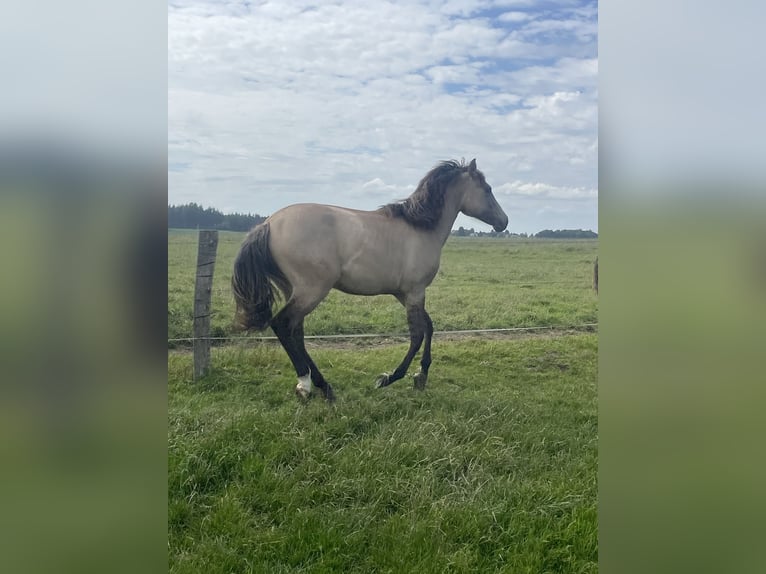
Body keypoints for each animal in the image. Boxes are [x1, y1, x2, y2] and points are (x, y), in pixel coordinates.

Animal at [231, 158, 508, 402]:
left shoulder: (404, 294)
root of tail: (267, 224)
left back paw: (323, 386)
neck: (420, 228)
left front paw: (421, 376)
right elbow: (417, 334)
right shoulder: (415, 291)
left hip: (294, 289)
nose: (503, 222)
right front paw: (389, 378)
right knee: (283, 324)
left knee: (295, 331)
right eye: (488, 189)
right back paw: (307, 385)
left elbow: (429, 327)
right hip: (312, 290)